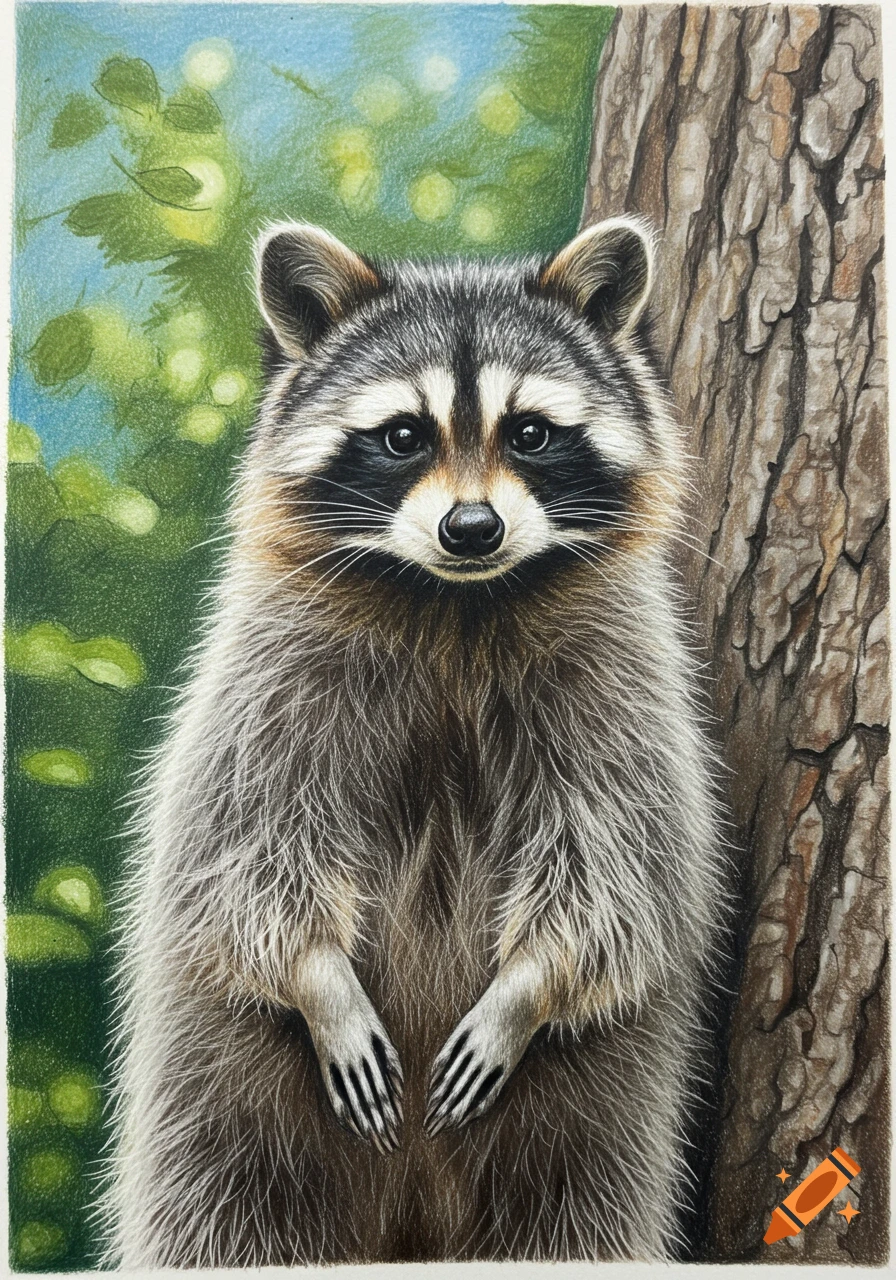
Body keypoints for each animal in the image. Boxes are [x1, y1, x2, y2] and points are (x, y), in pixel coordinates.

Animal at [104, 218, 724, 1267]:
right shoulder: (268, 681)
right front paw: (322, 986)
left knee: (577, 1206)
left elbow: (614, 871)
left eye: (530, 432)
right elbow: (248, 855)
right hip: (228, 1088)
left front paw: (526, 994)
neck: (453, 604)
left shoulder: (623, 687)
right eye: (403, 436)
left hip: (586, 1107)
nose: (471, 528)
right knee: (222, 1206)